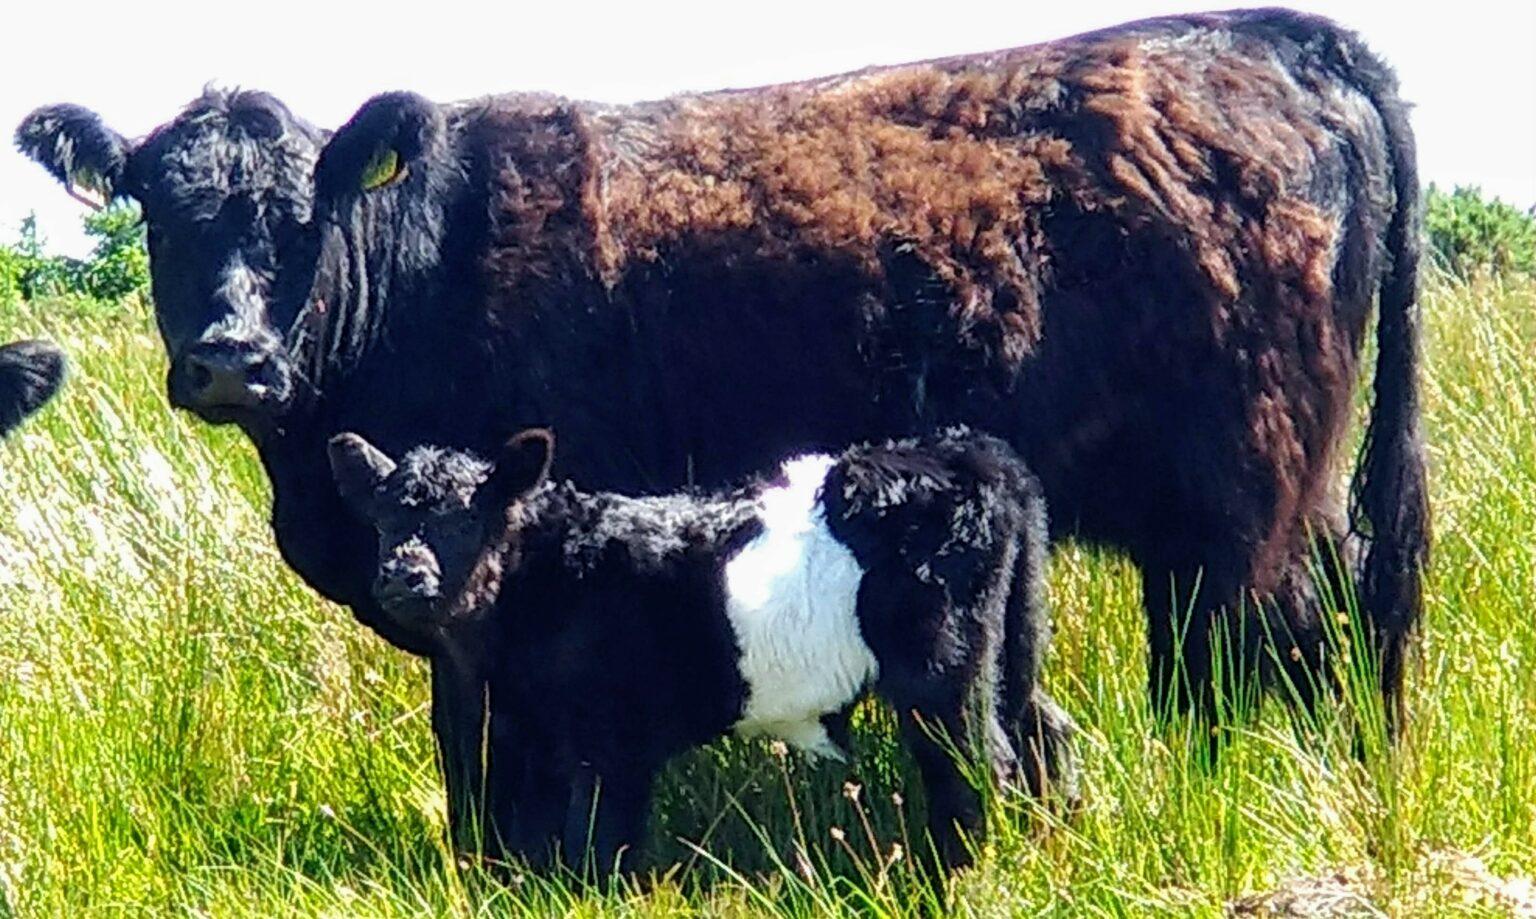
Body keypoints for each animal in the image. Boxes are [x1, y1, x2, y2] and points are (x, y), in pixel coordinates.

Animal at [328, 427, 1075, 872]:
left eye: (466, 520)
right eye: (384, 519)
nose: (401, 575)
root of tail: (965, 450)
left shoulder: (611, 742)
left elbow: (600, 838)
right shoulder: (521, 738)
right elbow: (533, 838)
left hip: (940, 670)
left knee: (977, 762)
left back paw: (954, 873)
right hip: (1008, 647)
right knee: (1042, 732)